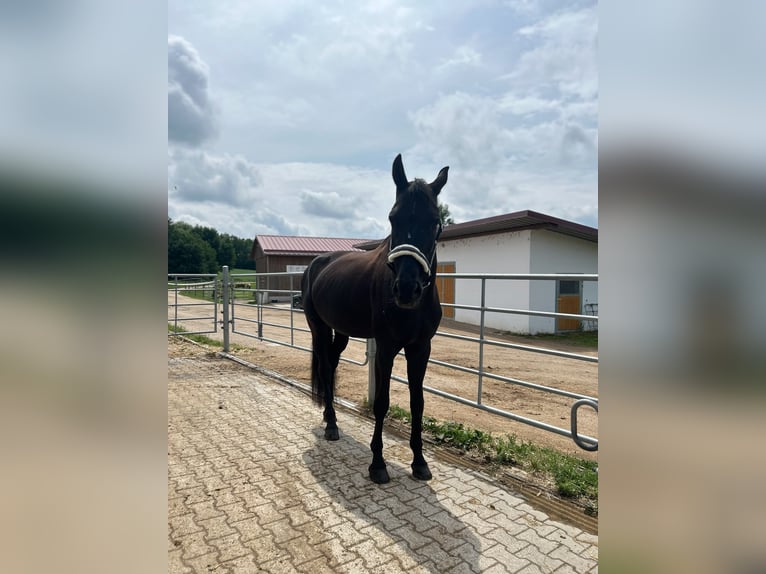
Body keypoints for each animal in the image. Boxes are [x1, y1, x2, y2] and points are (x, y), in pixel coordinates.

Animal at [301, 154, 448, 484]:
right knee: (325, 366)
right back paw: (332, 425)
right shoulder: (386, 347)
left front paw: (419, 462)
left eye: (435, 222)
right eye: (394, 218)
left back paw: (329, 417)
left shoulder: (421, 348)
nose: (406, 289)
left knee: (332, 365)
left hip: (341, 332)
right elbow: (382, 403)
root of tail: (316, 263)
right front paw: (377, 463)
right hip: (319, 328)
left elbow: (417, 403)